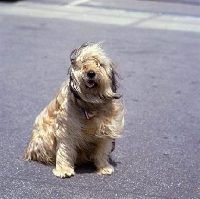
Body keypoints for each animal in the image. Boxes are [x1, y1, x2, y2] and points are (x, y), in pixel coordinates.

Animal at [24, 41, 124, 177]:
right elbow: (65, 149)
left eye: (99, 64)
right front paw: (64, 170)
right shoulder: (66, 127)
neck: (90, 104)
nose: (91, 73)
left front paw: (103, 167)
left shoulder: (105, 127)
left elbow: (102, 149)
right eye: (84, 64)